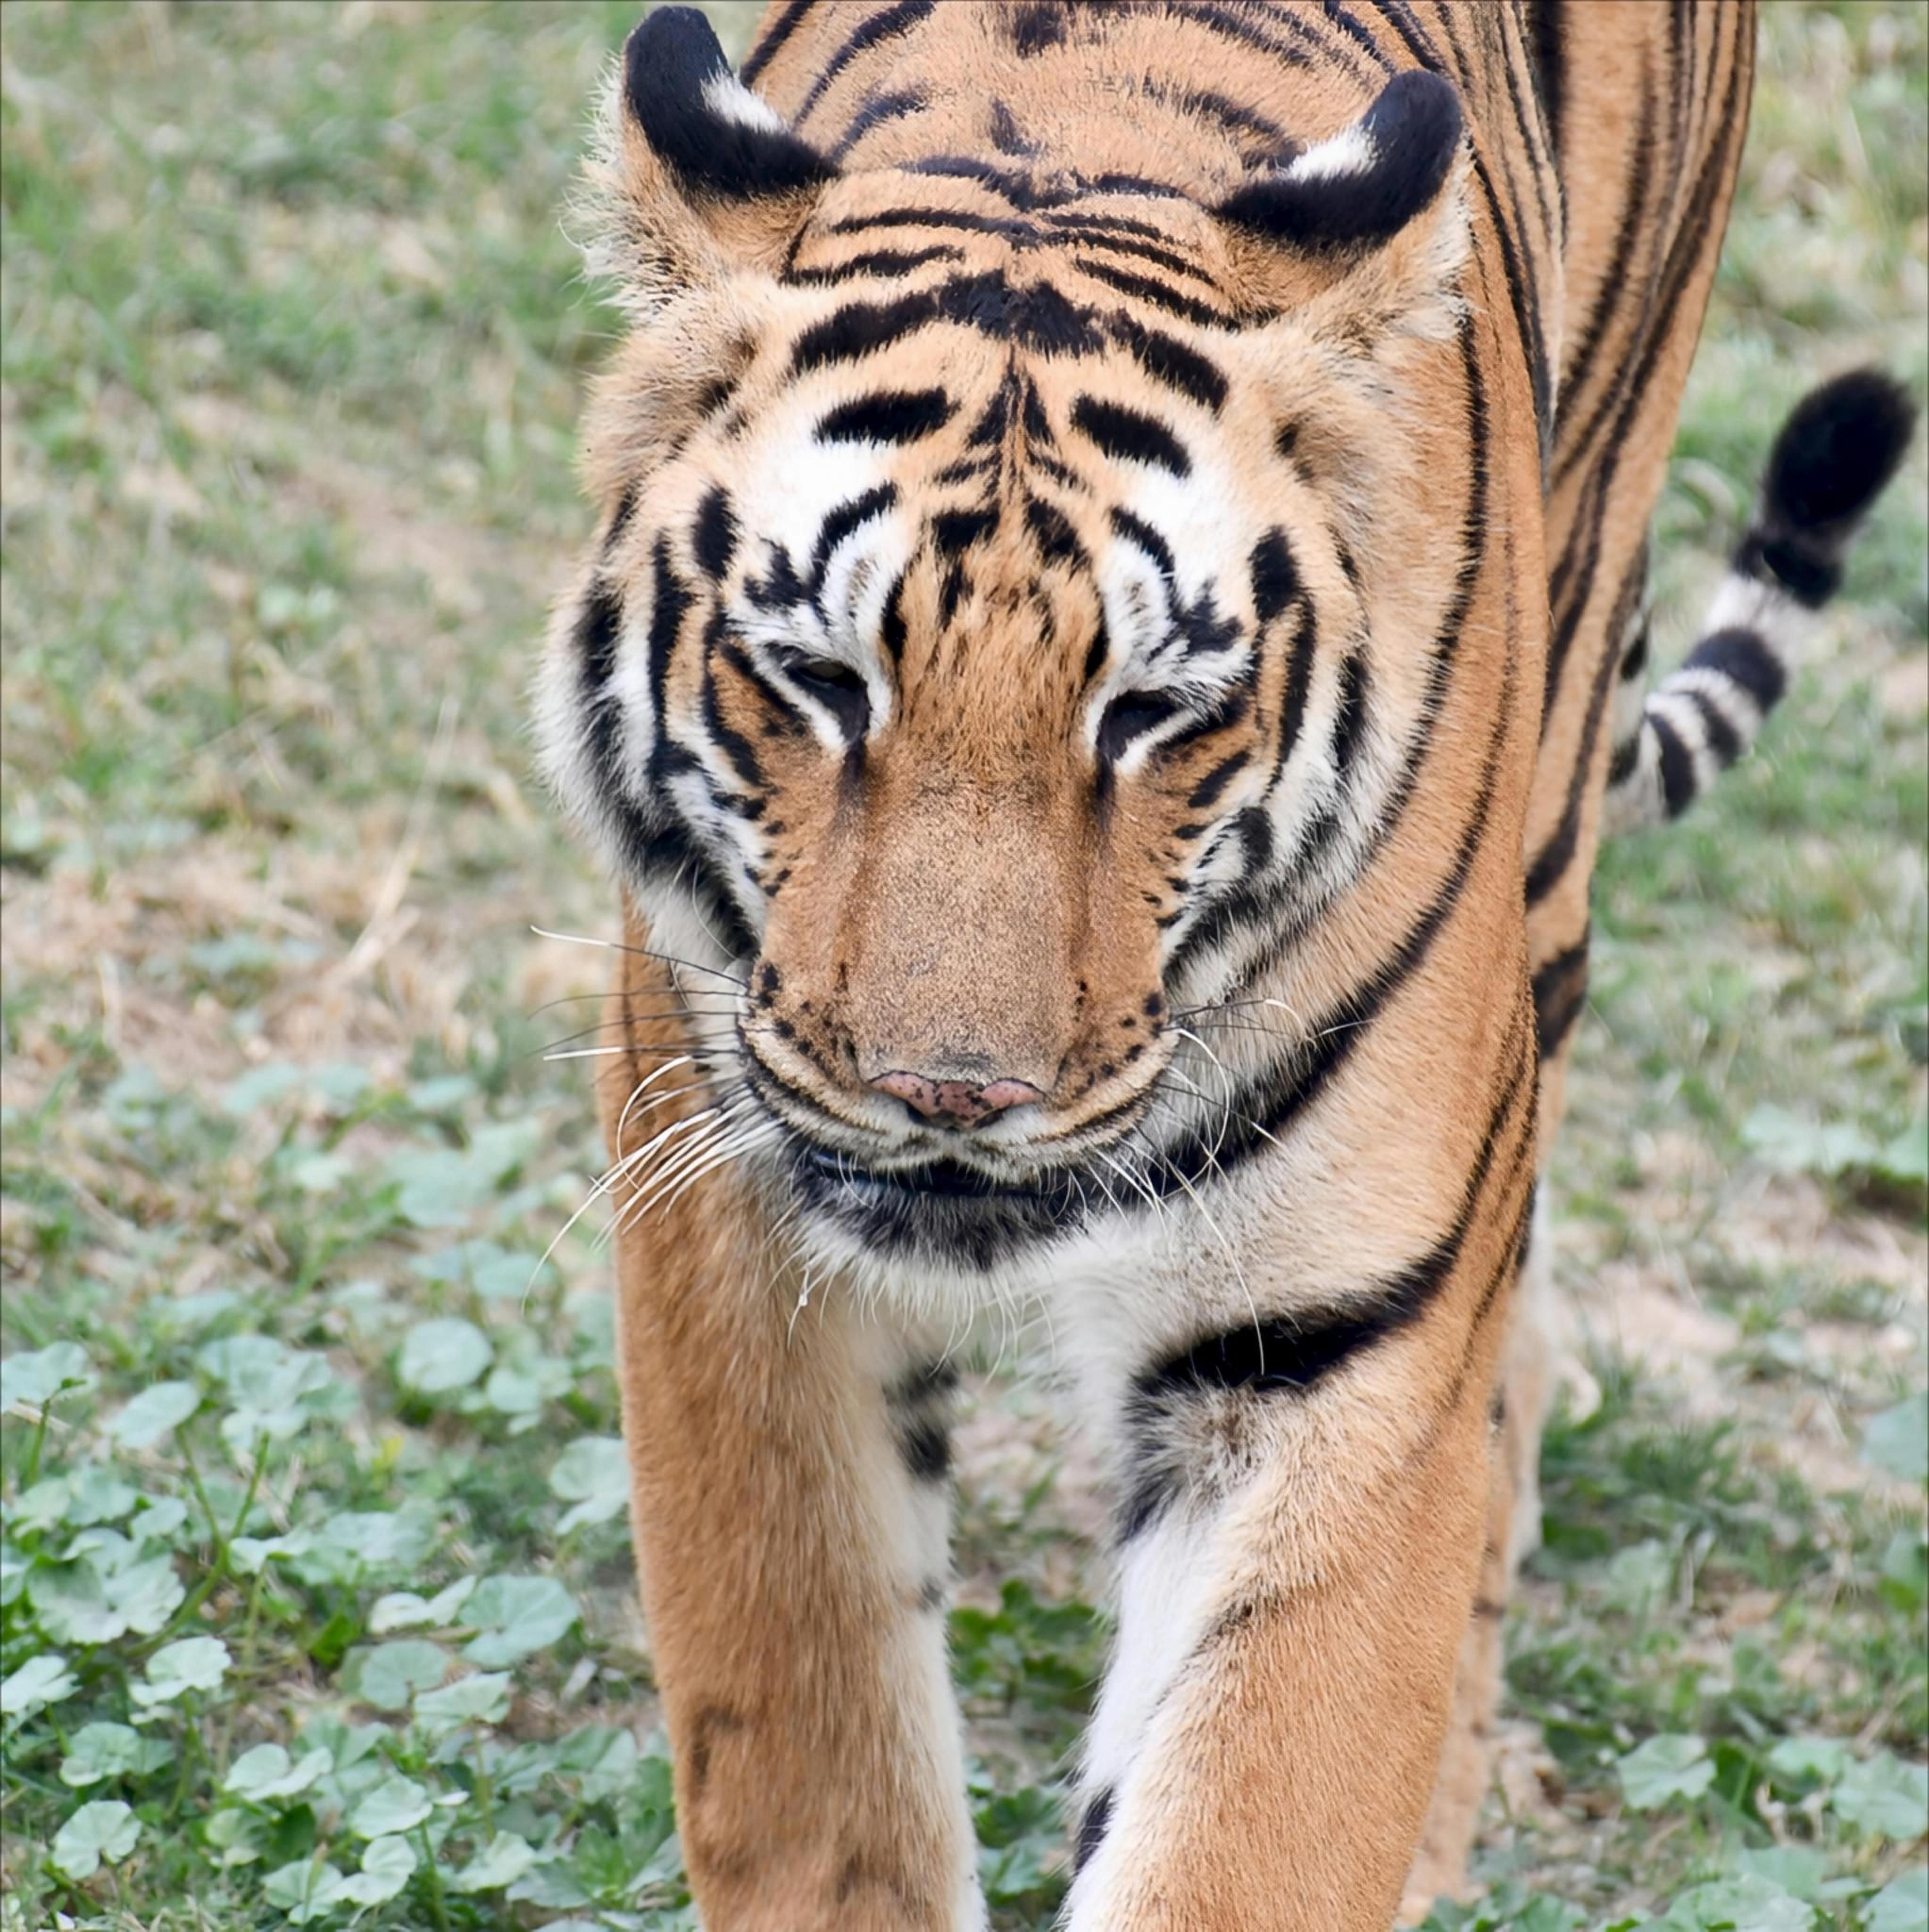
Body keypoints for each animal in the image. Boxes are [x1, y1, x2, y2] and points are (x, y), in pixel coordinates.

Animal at [531, 4, 1915, 1927]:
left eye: (1149, 711)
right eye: (816, 678)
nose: (950, 1095)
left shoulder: (1340, 1333)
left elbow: (1252, 1814)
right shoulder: (729, 1252)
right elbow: (819, 1778)